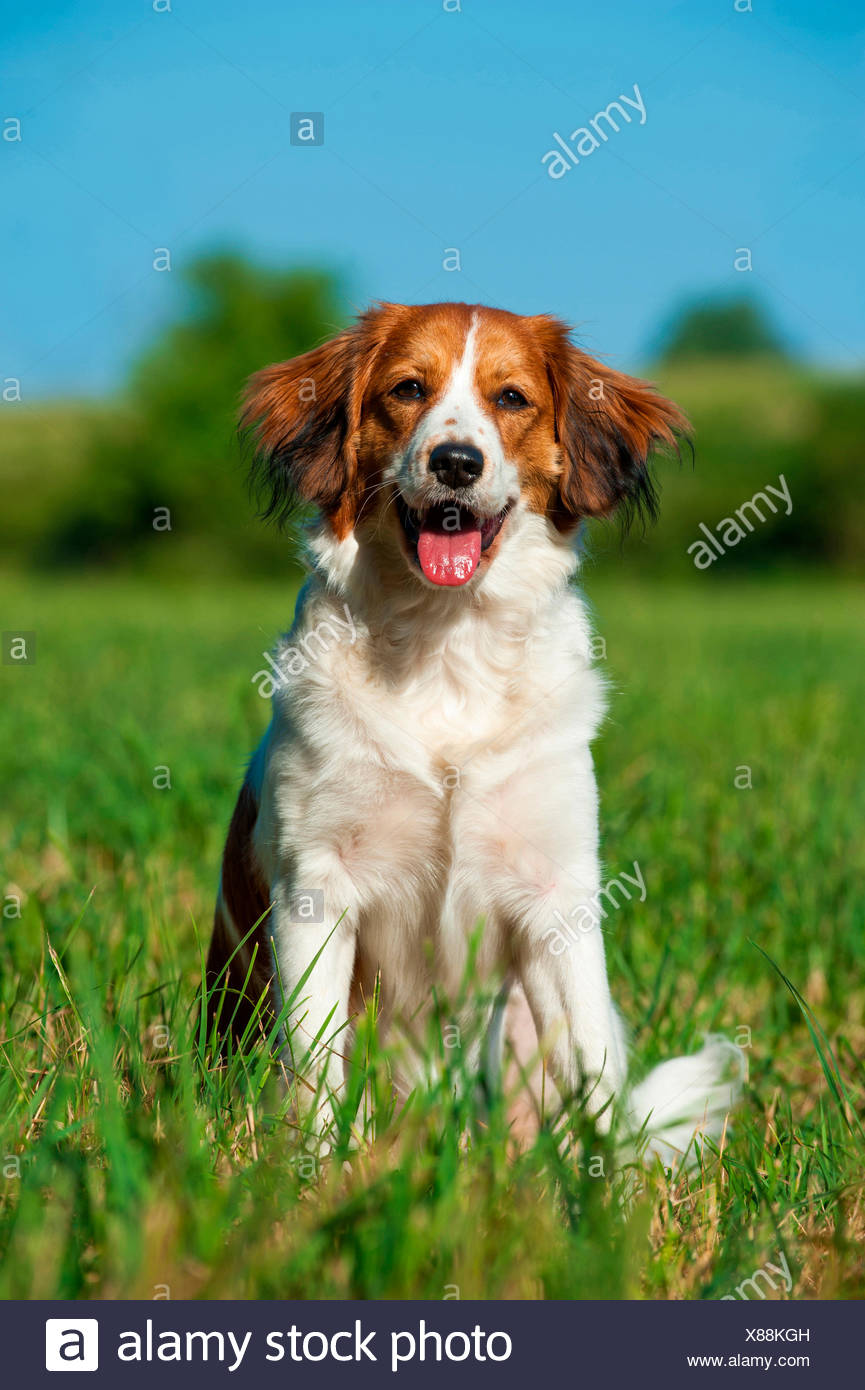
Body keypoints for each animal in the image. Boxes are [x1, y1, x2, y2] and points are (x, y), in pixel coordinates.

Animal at [208, 301, 745, 1162]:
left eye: (512, 398)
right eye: (406, 389)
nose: (456, 462)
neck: (444, 645)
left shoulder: (556, 894)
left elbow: (593, 1068)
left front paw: (607, 1192)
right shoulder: (316, 890)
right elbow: (317, 1068)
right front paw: (314, 1174)